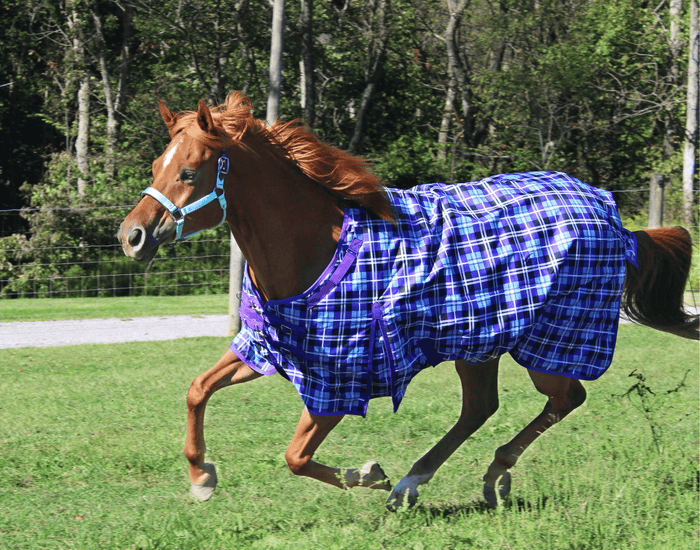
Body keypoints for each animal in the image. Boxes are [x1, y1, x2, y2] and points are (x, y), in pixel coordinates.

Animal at [117, 92, 699, 510]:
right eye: (156, 164)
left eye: (189, 171)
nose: (131, 237)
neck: (316, 245)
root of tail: (614, 219)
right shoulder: (269, 347)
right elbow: (197, 390)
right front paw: (201, 478)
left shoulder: (339, 384)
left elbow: (296, 456)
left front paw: (370, 474)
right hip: (478, 344)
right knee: (481, 408)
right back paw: (429, 482)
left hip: (547, 345)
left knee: (564, 398)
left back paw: (462, 477)